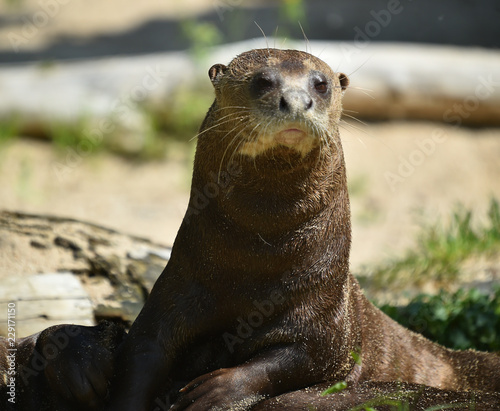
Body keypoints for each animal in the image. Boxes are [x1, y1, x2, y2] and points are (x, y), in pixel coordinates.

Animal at [100, 49, 496, 411]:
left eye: (320, 84)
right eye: (263, 80)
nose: (296, 101)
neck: (251, 270)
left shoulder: (325, 310)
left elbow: (301, 358)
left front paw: (212, 389)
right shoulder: (176, 289)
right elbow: (141, 352)